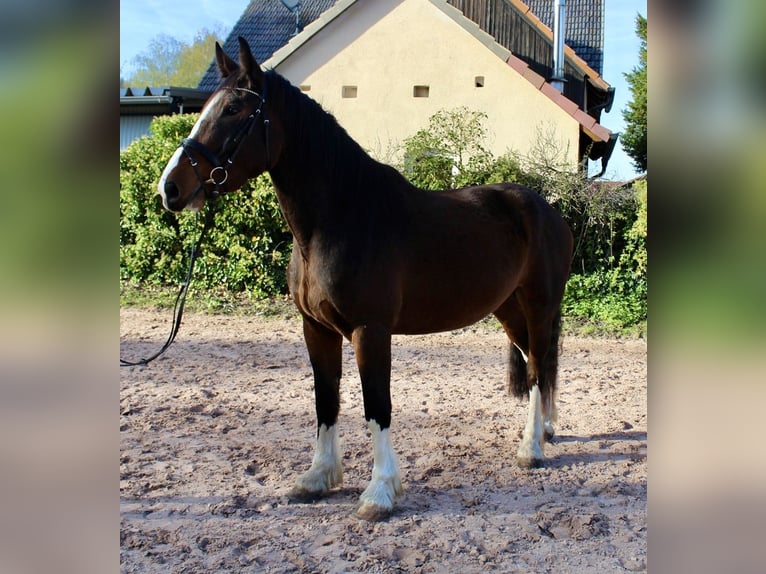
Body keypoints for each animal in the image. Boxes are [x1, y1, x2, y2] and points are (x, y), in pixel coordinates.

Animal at [159, 36, 572, 520]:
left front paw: (379, 492)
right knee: (536, 360)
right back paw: (545, 431)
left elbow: (377, 404)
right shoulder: (316, 328)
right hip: (507, 308)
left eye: (232, 110)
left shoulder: (369, 330)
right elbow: (326, 399)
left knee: (538, 367)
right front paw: (318, 478)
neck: (340, 216)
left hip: (539, 303)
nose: (170, 188)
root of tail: (547, 210)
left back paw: (532, 449)